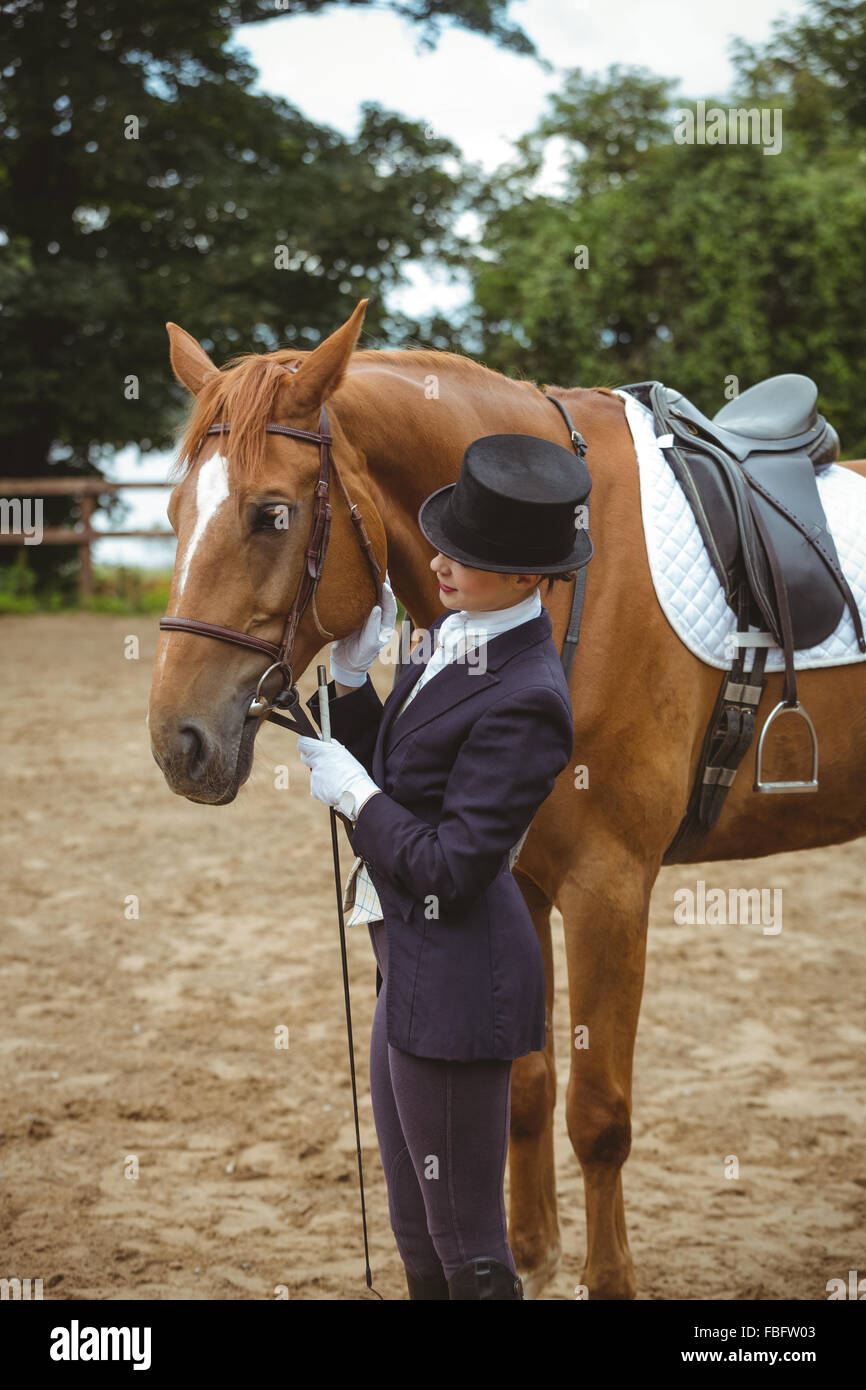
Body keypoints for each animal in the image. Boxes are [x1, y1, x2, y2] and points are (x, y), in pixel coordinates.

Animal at [147, 299, 866, 1299]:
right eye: (175, 511)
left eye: (272, 514)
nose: (178, 742)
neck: (566, 579)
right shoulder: (515, 879)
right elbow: (523, 1087)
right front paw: (531, 1254)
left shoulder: (609, 888)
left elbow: (598, 1114)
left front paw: (608, 1278)